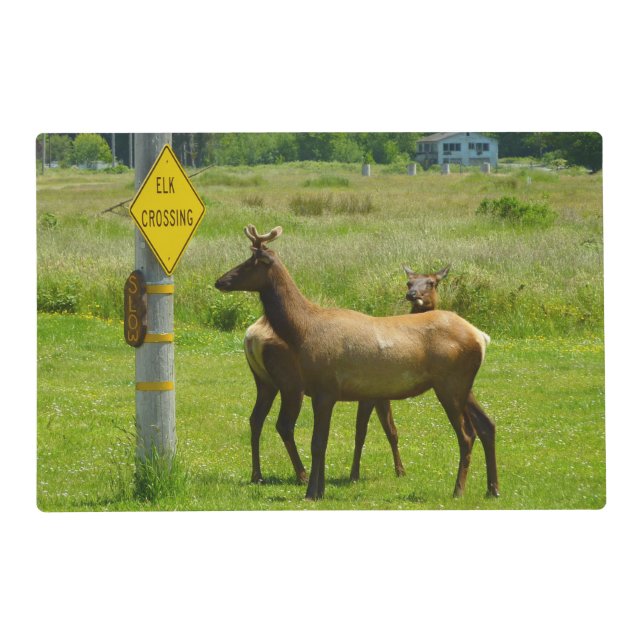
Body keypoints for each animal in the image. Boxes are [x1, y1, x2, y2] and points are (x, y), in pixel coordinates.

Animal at [215, 225, 498, 501]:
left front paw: (312, 493)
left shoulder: (326, 388)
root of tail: (481, 337)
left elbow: (318, 443)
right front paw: (320, 489)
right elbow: (326, 441)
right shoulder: (327, 391)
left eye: (250, 262)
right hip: (463, 385)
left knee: (467, 434)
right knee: (487, 425)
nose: (220, 281)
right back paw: (492, 489)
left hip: (450, 384)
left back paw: (459, 490)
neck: (302, 332)